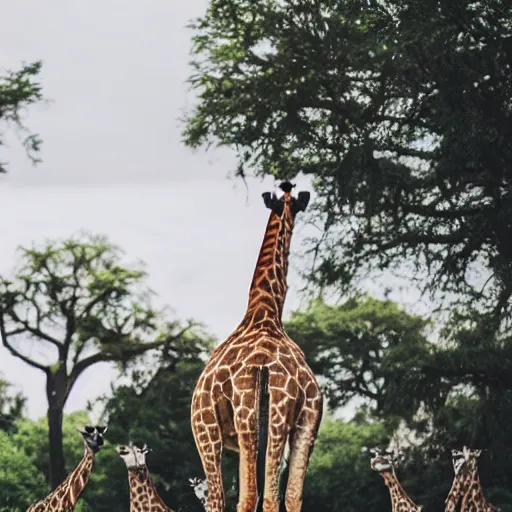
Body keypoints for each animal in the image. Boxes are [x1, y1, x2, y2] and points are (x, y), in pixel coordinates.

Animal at [190, 183, 322, 512]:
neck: (265, 311)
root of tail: (263, 366)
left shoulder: (209, 429)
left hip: (237, 426)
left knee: (240, 497)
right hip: (295, 423)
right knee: (289, 496)